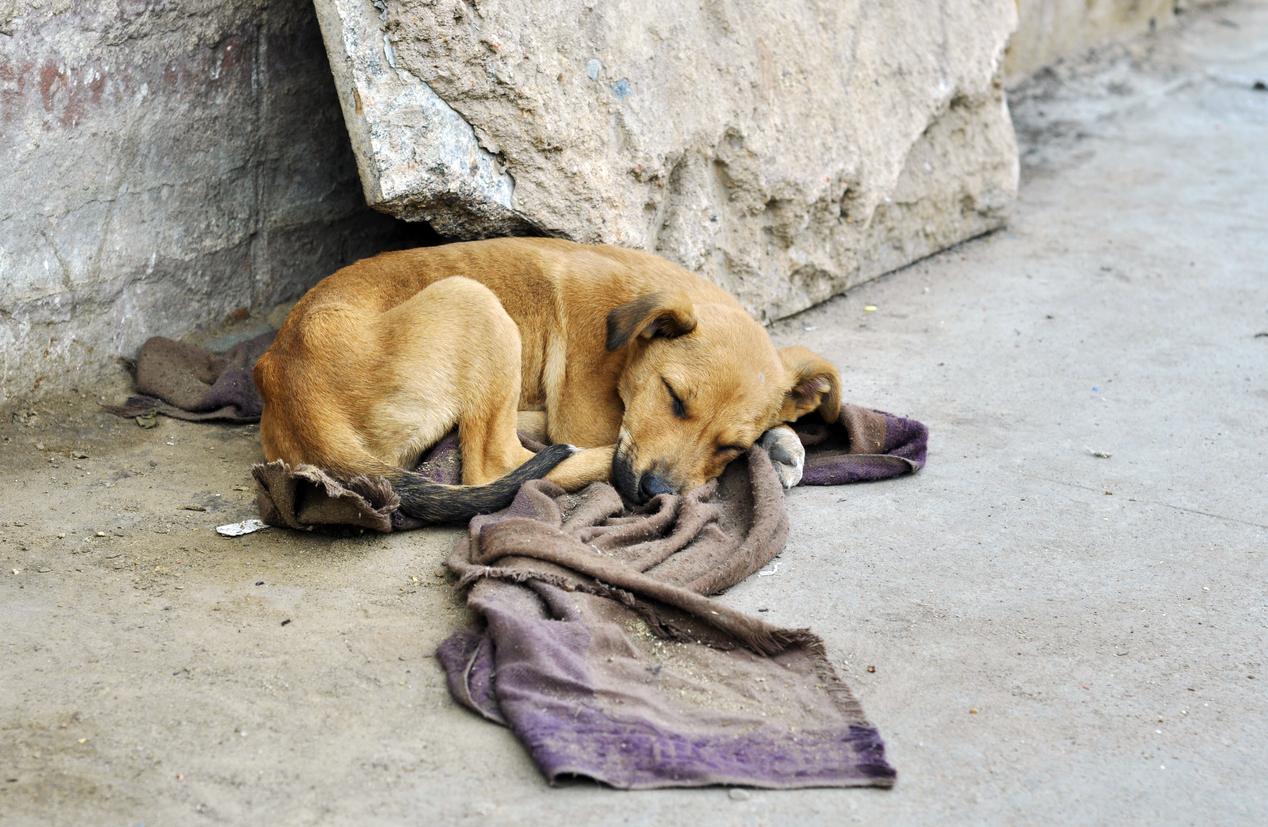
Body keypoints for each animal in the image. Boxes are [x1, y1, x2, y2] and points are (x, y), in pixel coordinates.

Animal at [252, 235, 836, 520]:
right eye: (673, 397)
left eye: (730, 446)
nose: (654, 494)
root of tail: (290, 385)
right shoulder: (589, 417)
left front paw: (782, 442)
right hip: (474, 302)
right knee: (495, 465)